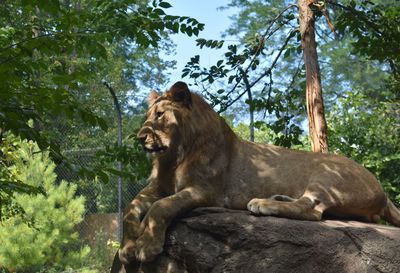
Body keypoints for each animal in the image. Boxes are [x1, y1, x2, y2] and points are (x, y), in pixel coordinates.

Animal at [117, 81, 400, 264]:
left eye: (160, 115)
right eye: (147, 116)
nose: (140, 138)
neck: (174, 154)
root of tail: (384, 193)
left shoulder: (205, 191)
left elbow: (162, 207)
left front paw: (146, 246)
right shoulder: (159, 186)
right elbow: (129, 209)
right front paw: (128, 246)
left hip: (326, 174)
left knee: (312, 210)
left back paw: (262, 204)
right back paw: (276, 199)